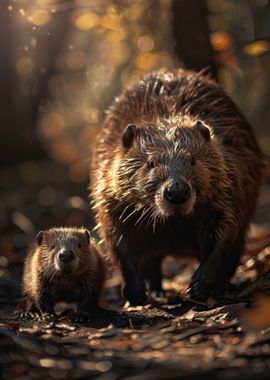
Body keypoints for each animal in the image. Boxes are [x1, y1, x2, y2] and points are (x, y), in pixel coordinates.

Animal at [90, 69, 262, 306]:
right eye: (151, 163)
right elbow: (117, 239)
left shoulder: (232, 174)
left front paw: (198, 285)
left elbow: (226, 232)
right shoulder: (109, 189)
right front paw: (135, 293)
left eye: (193, 160)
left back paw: (218, 288)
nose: (177, 192)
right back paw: (156, 292)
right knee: (151, 261)